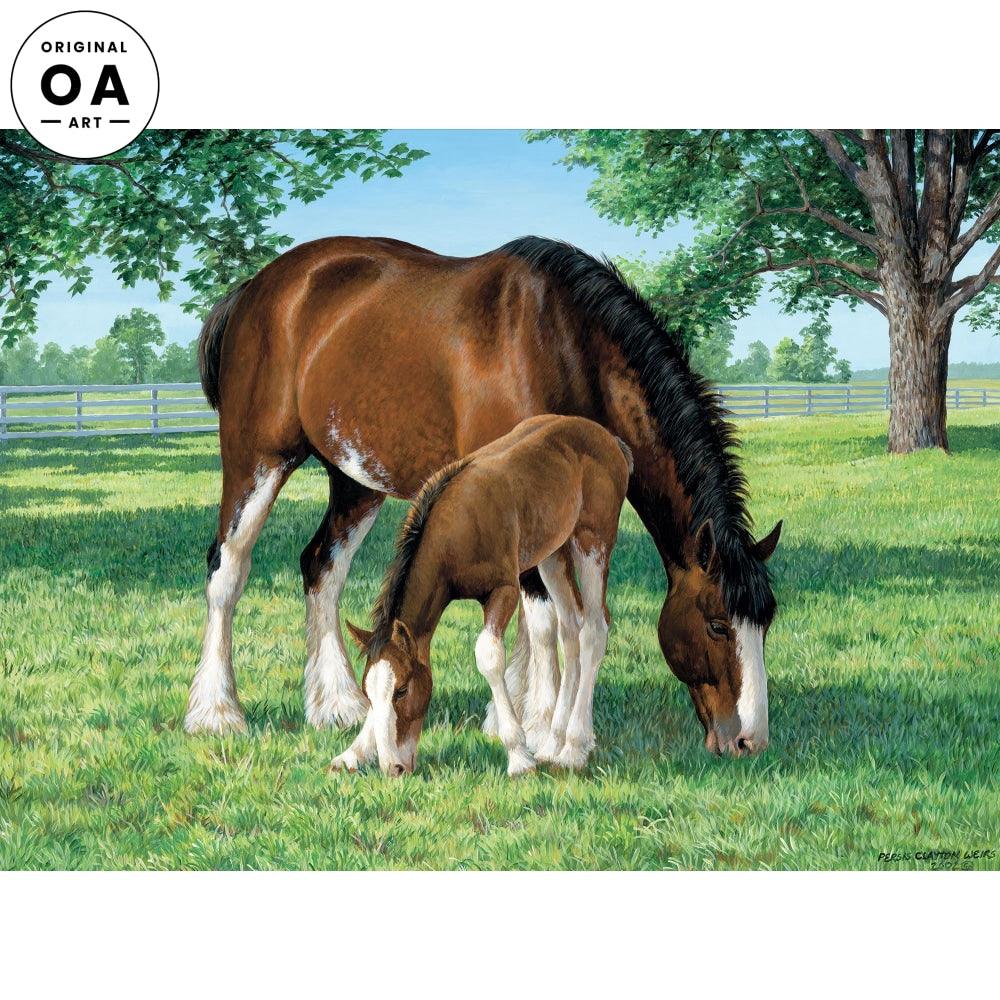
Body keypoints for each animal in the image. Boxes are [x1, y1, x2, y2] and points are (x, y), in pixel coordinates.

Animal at [330, 414, 632, 776]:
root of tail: (610, 439)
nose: (394, 769)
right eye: (368, 693)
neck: (455, 530)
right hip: (553, 554)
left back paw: (573, 748)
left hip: (592, 543)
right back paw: (552, 743)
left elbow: (488, 657)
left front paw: (518, 756)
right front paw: (353, 753)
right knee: (570, 628)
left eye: (402, 690)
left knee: (594, 630)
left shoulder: (504, 591)